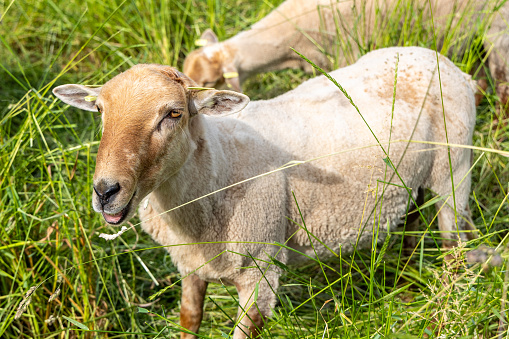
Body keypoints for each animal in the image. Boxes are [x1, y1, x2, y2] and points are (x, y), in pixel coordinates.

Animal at [54, 45, 476, 339]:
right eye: (100, 111)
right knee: (413, 221)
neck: (217, 171)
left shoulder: (261, 271)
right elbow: (190, 319)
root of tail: (438, 57)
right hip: (415, 180)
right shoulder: (191, 265)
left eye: (173, 113)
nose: (106, 190)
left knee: (453, 245)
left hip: (454, 169)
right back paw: (405, 280)